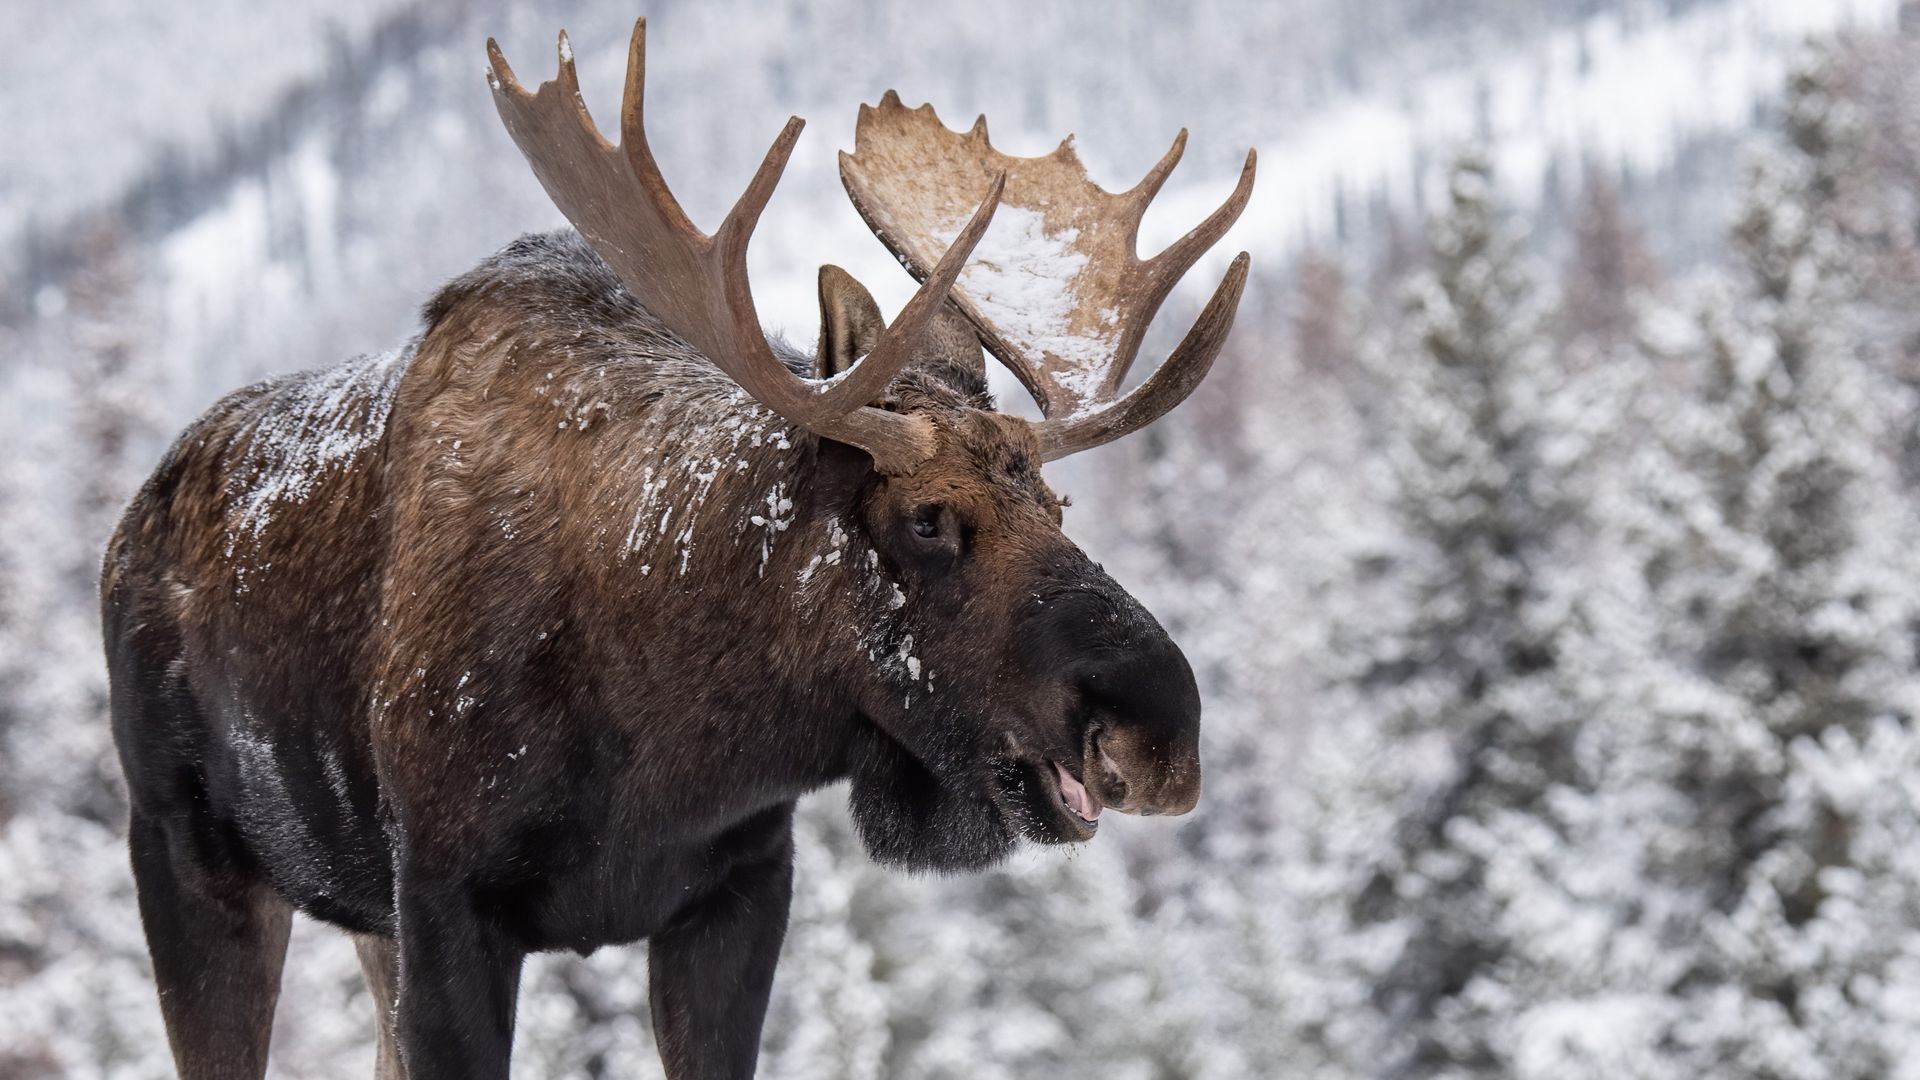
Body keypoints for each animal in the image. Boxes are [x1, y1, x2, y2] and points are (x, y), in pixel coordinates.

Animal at [97, 18, 1251, 1076]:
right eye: (927, 517)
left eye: (1058, 501)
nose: (1162, 730)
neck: (669, 736)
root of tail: (130, 524)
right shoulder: (441, 900)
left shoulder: (738, 890)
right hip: (187, 853)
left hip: (356, 921)